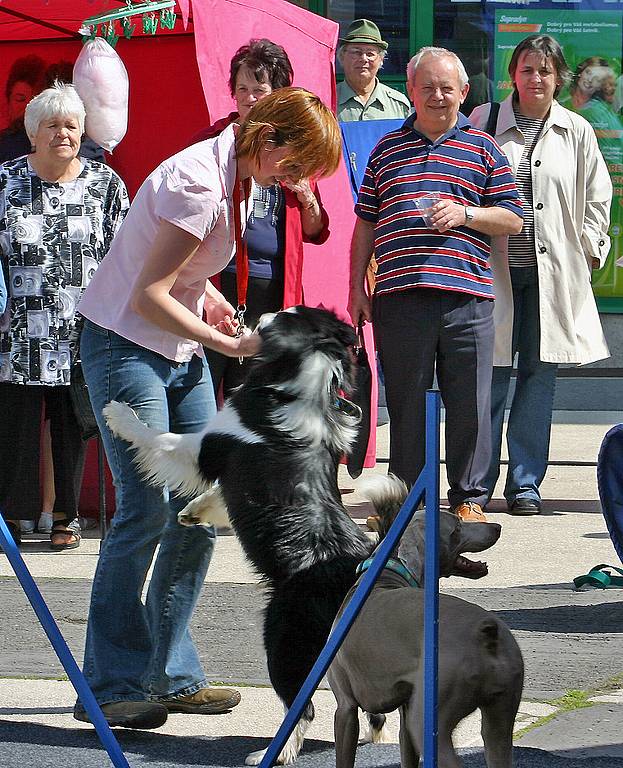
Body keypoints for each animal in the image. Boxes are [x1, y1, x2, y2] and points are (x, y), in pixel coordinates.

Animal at [330, 476, 524, 764]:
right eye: (456, 528)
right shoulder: (403, 713)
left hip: (430, 720)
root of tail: (486, 632)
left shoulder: (345, 707)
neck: (386, 575)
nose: (497, 527)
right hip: (499, 715)